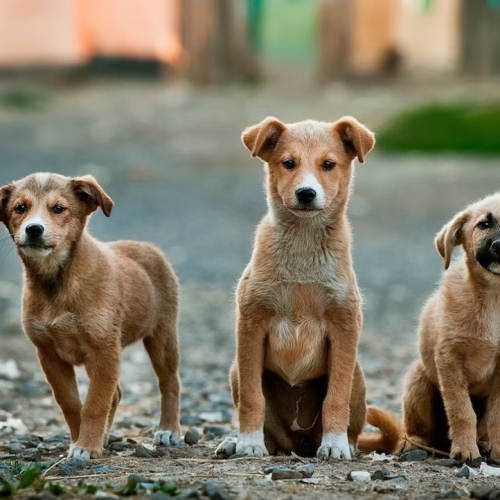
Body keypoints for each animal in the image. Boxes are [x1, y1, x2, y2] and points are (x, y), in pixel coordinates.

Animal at [0, 173, 183, 460]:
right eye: (20, 208)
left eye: (59, 208)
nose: (34, 229)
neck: (57, 282)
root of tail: (147, 247)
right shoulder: (49, 354)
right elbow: (72, 404)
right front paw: (82, 441)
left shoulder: (104, 349)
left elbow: (95, 403)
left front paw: (86, 446)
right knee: (116, 394)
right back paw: (105, 437)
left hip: (162, 337)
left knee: (170, 383)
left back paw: (168, 430)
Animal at [217, 115, 374, 458]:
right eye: (288, 163)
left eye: (328, 164)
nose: (305, 193)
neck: (303, 247)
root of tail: (299, 442)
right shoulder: (251, 323)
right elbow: (252, 397)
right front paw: (248, 442)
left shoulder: (345, 325)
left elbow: (335, 397)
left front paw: (335, 444)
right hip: (235, 370)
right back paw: (238, 441)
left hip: (357, 374)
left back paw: (344, 443)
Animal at [360, 194, 500, 464]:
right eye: (484, 224)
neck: (495, 300)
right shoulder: (449, 358)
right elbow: (461, 410)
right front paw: (465, 450)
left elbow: (496, 415)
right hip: (418, 381)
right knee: (417, 432)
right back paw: (416, 445)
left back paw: (485, 443)